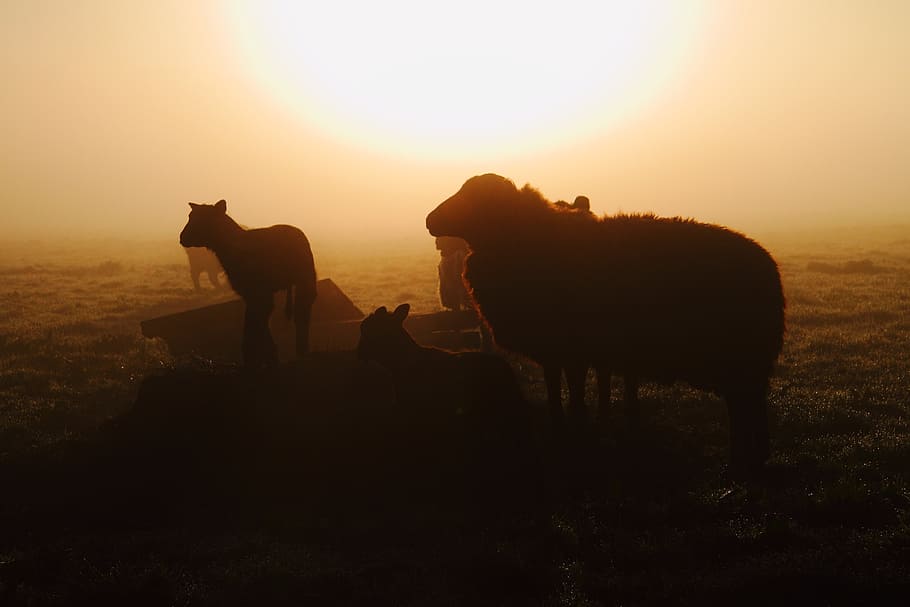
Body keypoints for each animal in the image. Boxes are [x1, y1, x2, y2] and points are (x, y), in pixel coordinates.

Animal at [179, 199, 317, 367]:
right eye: (190, 216)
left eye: (203, 219)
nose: (182, 238)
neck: (233, 246)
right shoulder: (250, 294)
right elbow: (255, 322)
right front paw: (266, 356)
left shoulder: (259, 292)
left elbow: (254, 324)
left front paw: (257, 357)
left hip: (306, 279)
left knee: (302, 312)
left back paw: (302, 351)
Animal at [425, 174, 785, 471]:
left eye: (473, 196)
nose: (429, 221)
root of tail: (769, 266)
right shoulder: (555, 349)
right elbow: (556, 390)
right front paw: (563, 427)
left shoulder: (575, 349)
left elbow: (575, 392)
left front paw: (579, 430)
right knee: (746, 406)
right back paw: (749, 457)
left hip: (739, 357)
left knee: (746, 406)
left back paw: (743, 459)